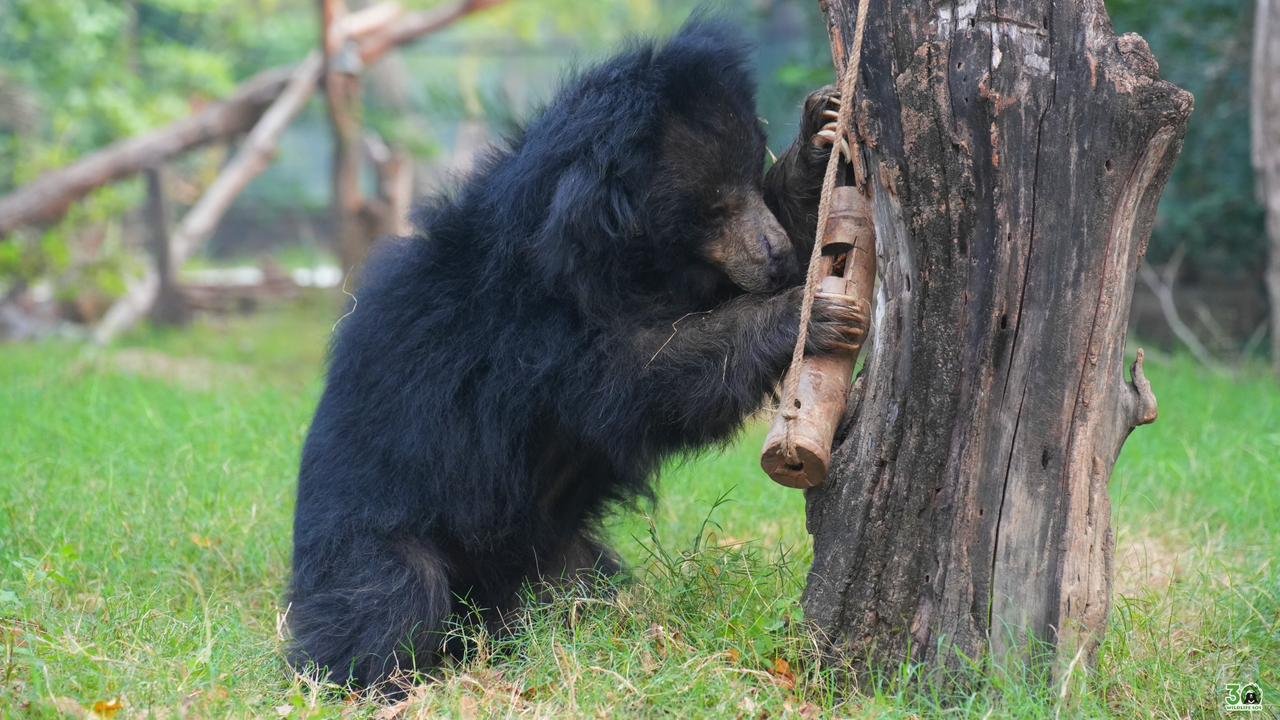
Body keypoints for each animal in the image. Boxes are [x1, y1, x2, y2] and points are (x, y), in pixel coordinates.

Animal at [288, 19, 865, 690]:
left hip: (554, 548)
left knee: (576, 588)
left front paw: (821, 131)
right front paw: (810, 311)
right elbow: (640, 377)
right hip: (377, 533)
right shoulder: (534, 334)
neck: (608, 252)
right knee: (391, 600)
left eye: (752, 178)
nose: (772, 258)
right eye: (713, 207)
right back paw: (386, 677)